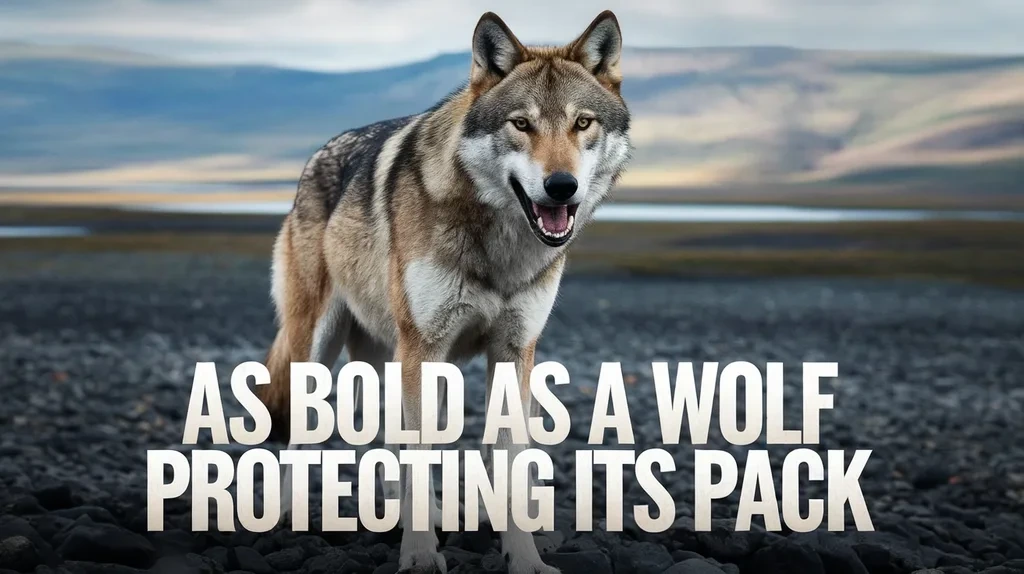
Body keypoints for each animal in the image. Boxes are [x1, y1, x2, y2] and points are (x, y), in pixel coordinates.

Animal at [257, 10, 631, 573]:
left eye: (582, 123)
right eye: (521, 124)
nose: (561, 186)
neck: (500, 247)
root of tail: (315, 158)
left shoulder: (513, 350)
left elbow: (509, 464)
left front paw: (524, 555)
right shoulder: (424, 345)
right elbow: (419, 457)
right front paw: (419, 555)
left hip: (408, 363)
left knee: (394, 442)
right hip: (326, 351)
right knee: (307, 442)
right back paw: (288, 514)